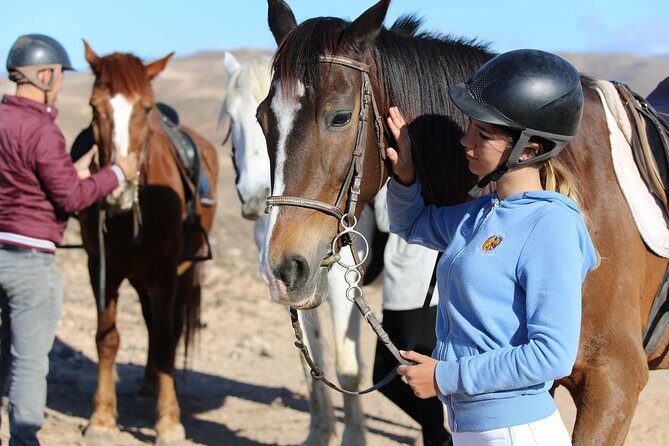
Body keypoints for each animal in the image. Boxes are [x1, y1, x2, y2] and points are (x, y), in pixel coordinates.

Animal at [77, 41, 219, 443]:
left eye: (145, 109)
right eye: (94, 107)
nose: (119, 187)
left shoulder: (166, 272)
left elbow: (168, 339)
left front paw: (169, 422)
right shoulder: (101, 268)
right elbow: (107, 338)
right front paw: (102, 418)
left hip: (179, 272)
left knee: (165, 327)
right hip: (140, 278)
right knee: (149, 320)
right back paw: (147, 382)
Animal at [220, 51, 369, 445]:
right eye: (234, 119)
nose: (254, 197)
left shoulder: (343, 285)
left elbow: (347, 367)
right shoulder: (296, 285)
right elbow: (311, 361)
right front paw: (319, 431)